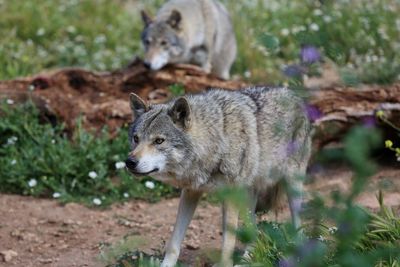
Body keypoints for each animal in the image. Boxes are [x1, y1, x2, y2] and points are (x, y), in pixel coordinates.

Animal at [125, 87, 312, 266]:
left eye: (159, 141)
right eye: (136, 138)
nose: (129, 162)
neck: (217, 141)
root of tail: (294, 95)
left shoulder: (231, 196)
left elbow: (228, 242)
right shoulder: (191, 192)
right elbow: (174, 241)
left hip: (290, 187)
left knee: (298, 226)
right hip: (245, 198)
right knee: (254, 232)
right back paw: (247, 260)